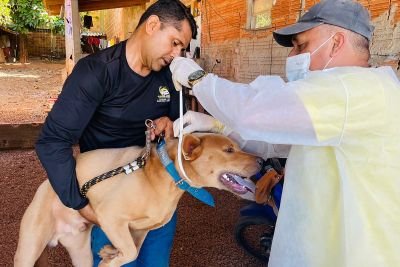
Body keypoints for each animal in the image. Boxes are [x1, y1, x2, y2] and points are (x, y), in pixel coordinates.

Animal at [14, 134, 260, 267]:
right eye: (228, 150)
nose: (262, 160)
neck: (167, 176)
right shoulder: (110, 217)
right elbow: (131, 252)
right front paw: (111, 259)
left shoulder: (140, 230)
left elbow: (134, 248)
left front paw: (110, 252)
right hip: (28, 251)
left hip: (80, 252)